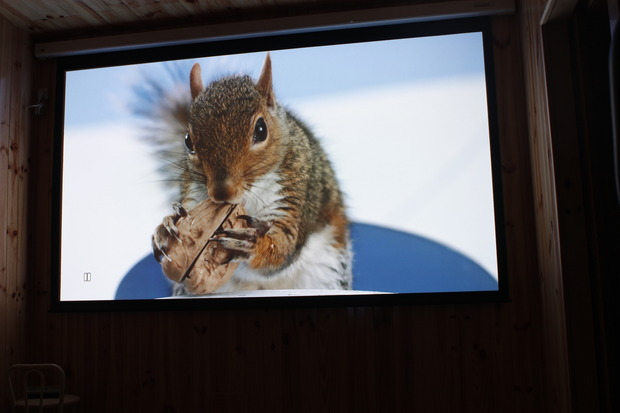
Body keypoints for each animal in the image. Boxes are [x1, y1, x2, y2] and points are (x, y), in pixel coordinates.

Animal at [149, 54, 354, 292]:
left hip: (328, 271)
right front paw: (165, 228)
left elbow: (283, 247)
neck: (248, 196)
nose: (221, 193)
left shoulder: (297, 193)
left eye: (261, 130)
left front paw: (252, 244)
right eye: (188, 141)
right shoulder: (193, 194)